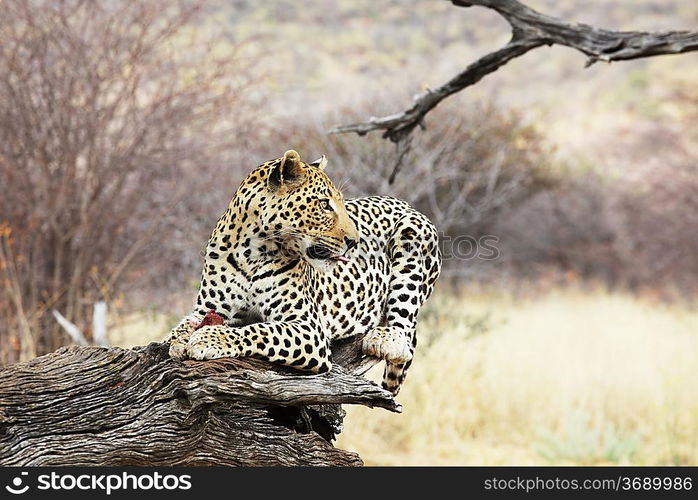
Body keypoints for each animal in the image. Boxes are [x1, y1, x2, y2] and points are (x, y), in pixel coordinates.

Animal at [165, 150, 441, 395]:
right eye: (324, 204)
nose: (354, 241)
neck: (251, 252)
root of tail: (402, 201)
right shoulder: (208, 308)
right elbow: (184, 324)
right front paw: (176, 340)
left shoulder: (308, 327)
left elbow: (261, 330)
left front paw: (210, 338)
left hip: (412, 236)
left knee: (405, 332)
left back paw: (385, 338)